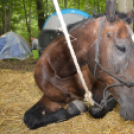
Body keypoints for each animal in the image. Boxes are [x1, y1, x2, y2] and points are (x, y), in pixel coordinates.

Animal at [23, 0, 134, 130]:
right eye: (121, 48)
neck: (60, 72)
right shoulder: (51, 98)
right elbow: (30, 118)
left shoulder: (100, 86)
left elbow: (96, 110)